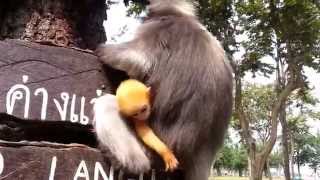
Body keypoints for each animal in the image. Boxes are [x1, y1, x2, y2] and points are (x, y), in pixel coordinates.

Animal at [95, 0, 232, 179]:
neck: (181, 16)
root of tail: (198, 156)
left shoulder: (158, 29)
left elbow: (135, 59)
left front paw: (101, 50)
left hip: (154, 154)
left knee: (106, 104)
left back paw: (131, 164)